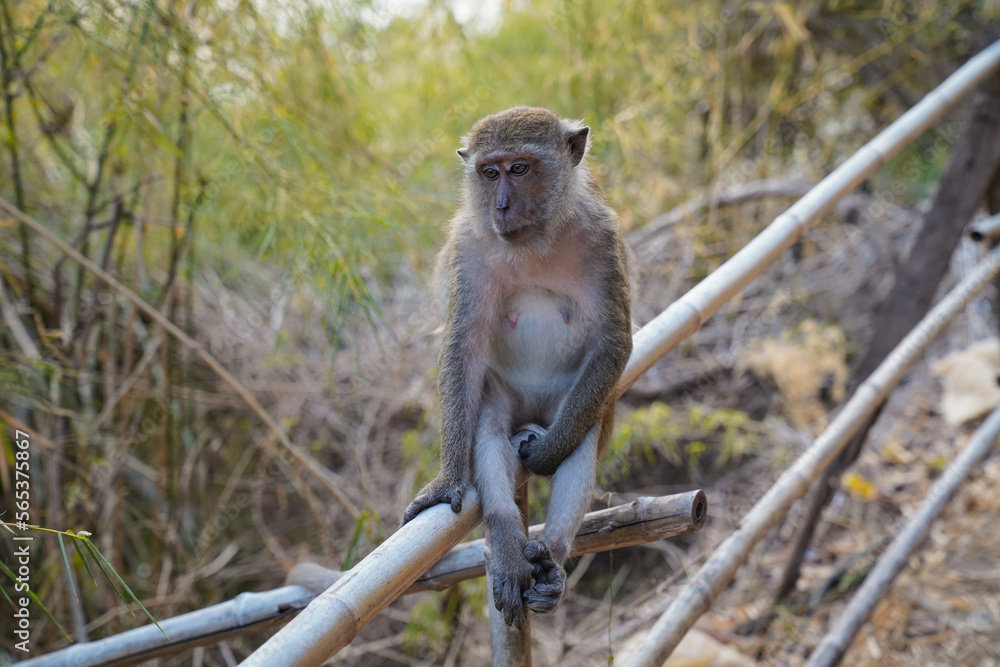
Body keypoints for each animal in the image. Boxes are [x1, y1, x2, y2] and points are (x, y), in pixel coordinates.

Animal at [401, 106, 633, 630]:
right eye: (490, 173)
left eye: (520, 168)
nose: (502, 206)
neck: (534, 243)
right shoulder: (468, 246)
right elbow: (462, 349)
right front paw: (447, 481)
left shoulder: (602, 235)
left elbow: (614, 342)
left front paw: (546, 455)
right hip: (505, 395)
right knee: (489, 430)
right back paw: (508, 541)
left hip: (568, 402)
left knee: (583, 434)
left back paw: (551, 555)